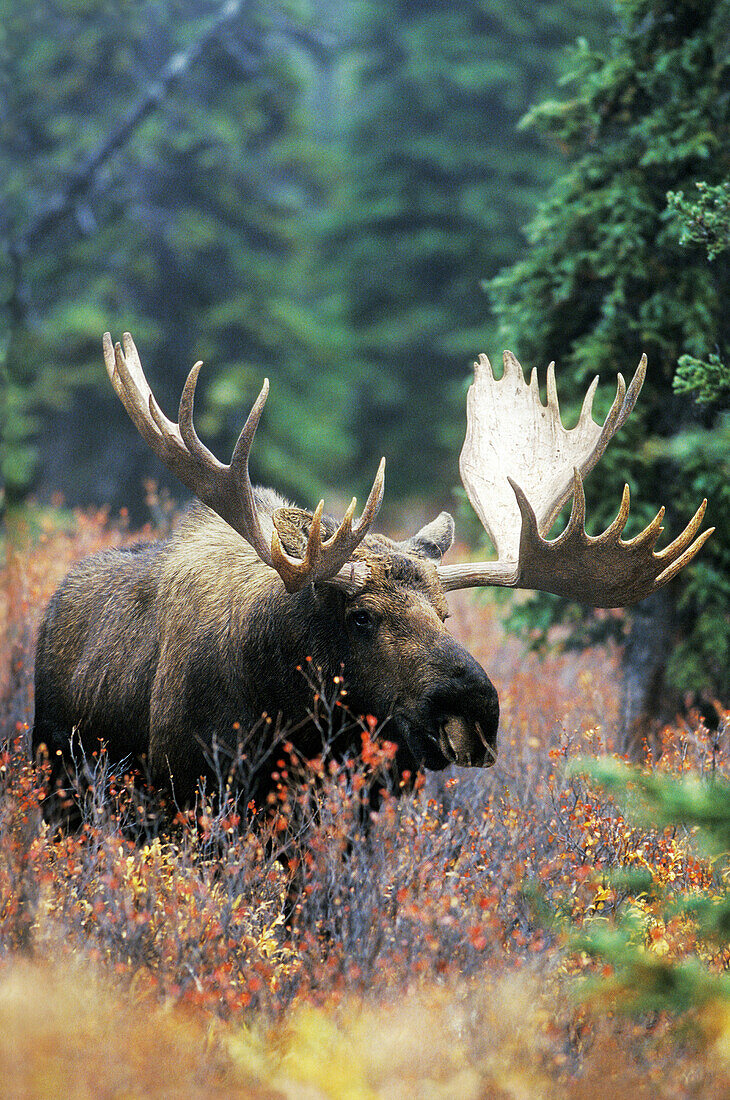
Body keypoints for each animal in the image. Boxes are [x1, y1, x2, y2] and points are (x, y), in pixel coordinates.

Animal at [31, 334, 708, 818]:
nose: (474, 707)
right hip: (59, 780)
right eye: (360, 616)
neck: (288, 718)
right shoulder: (187, 790)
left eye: (445, 614)